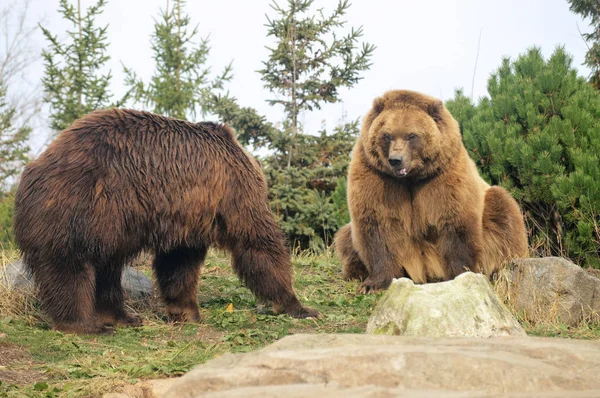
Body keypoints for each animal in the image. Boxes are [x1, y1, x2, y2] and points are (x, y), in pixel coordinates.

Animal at [12, 107, 318, 334]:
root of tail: (31, 171)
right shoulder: (232, 188)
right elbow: (257, 240)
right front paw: (298, 305)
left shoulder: (185, 218)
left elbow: (178, 263)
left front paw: (185, 311)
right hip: (81, 208)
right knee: (72, 265)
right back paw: (84, 325)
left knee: (107, 268)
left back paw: (123, 317)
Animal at [336, 91, 528, 294]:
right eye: (387, 135)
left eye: (412, 135)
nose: (396, 160)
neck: (411, 178)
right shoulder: (377, 177)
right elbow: (378, 225)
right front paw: (373, 284)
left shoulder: (442, 176)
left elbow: (455, 221)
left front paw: (460, 274)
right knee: (345, 237)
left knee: (503, 213)